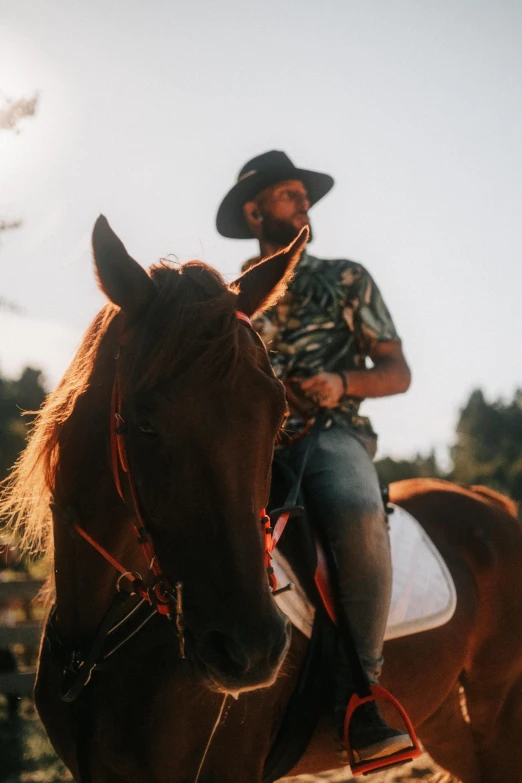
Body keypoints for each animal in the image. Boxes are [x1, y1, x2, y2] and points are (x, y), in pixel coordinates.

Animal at [1, 217, 520, 780]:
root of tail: (494, 506)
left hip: (498, 715)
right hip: (449, 722)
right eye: (143, 422)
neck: (95, 640)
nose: (250, 650)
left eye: (278, 414)